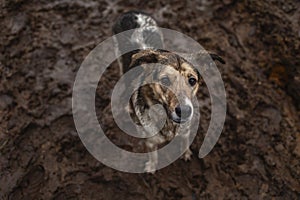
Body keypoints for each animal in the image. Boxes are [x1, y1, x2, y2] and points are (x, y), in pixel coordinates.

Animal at [111, 10, 224, 173]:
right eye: (164, 80)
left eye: (192, 80)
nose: (184, 111)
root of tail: (132, 13)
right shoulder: (150, 140)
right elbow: (153, 155)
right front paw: (152, 167)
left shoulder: (185, 131)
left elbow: (184, 143)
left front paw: (186, 154)